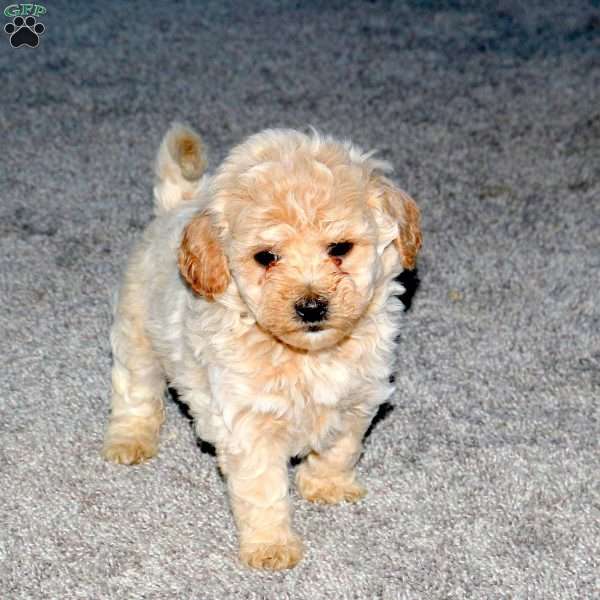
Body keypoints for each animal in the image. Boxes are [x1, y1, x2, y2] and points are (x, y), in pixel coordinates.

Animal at [102, 124, 422, 568]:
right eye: (266, 257)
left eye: (339, 249)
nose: (311, 306)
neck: (307, 357)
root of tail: (175, 206)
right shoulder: (249, 426)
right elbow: (263, 490)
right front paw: (271, 546)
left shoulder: (358, 400)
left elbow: (341, 448)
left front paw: (326, 486)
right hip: (138, 334)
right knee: (135, 392)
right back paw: (129, 440)